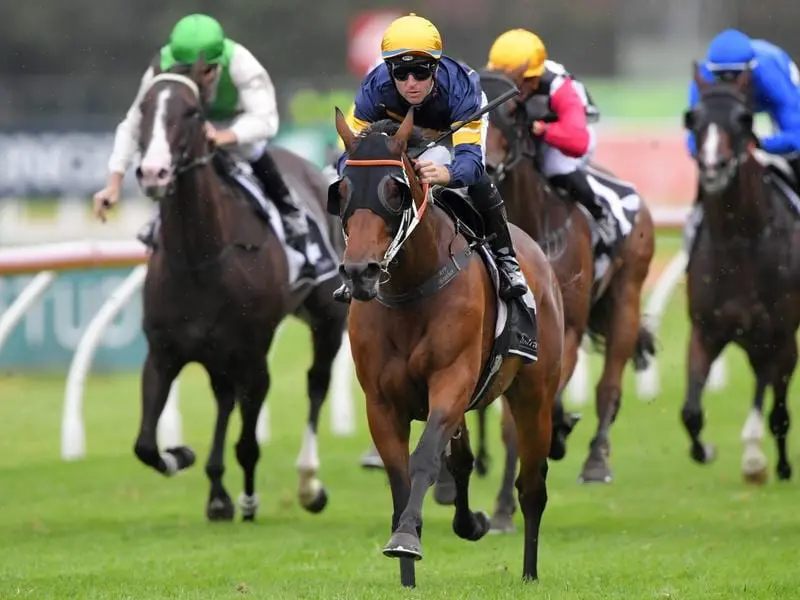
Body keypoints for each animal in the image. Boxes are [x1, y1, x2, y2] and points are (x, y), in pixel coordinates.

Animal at [130, 59, 346, 520]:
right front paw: (182, 456)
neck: (200, 258)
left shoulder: (252, 354)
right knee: (224, 398)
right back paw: (216, 491)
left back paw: (308, 485)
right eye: (144, 108)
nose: (154, 172)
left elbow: (248, 443)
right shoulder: (163, 352)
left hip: (328, 319)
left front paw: (249, 498)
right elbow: (145, 446)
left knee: (316, 383)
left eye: (192, 111)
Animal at [330, 108, 564, 584]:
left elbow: (423, 459)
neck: (410, 288)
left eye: (394, 191)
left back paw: (529, 572)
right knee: (463, 461)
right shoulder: (382, 402)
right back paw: (469, 521)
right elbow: (401, 479)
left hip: (534, 394)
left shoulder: (451, 382)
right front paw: (406, 572)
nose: (360, 272)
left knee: (532, 487)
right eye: (341, 190)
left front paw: (406, 540)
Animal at [476, 71, 656, 528]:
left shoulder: (567, 328)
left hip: (626, 296)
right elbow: (513, 423)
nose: (486, 163)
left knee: (609, 385)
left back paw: (595, 459)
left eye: (512, 111)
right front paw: (502, 506)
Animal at [680, 65, 800, 482]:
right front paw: (704, 451)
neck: (739, 242)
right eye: (694, 118)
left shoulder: (781, 335)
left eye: (743, 119)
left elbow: (778, 411)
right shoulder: (705, 332)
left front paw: (774, 465)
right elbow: (691, 412)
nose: (713, 167)